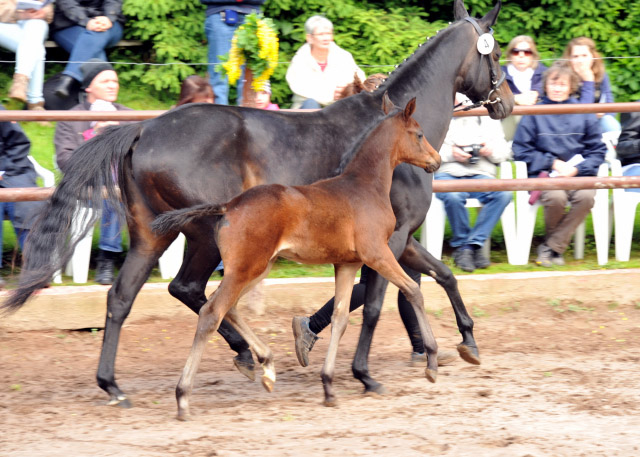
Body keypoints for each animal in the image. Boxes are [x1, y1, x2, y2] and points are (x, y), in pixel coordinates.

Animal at [152, 94, 442, 418]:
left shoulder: (347, 263)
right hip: (246, 269)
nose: (437, 160)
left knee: (228, 307)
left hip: (257, 268)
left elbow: (340, 317)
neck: (365, 186)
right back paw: (183, 397)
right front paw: (431, 362)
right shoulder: (377, 253)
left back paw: (267, 367)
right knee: (211, 312)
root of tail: (229, 206)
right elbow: (414, 290)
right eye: (419, 134)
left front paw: (328, 386)